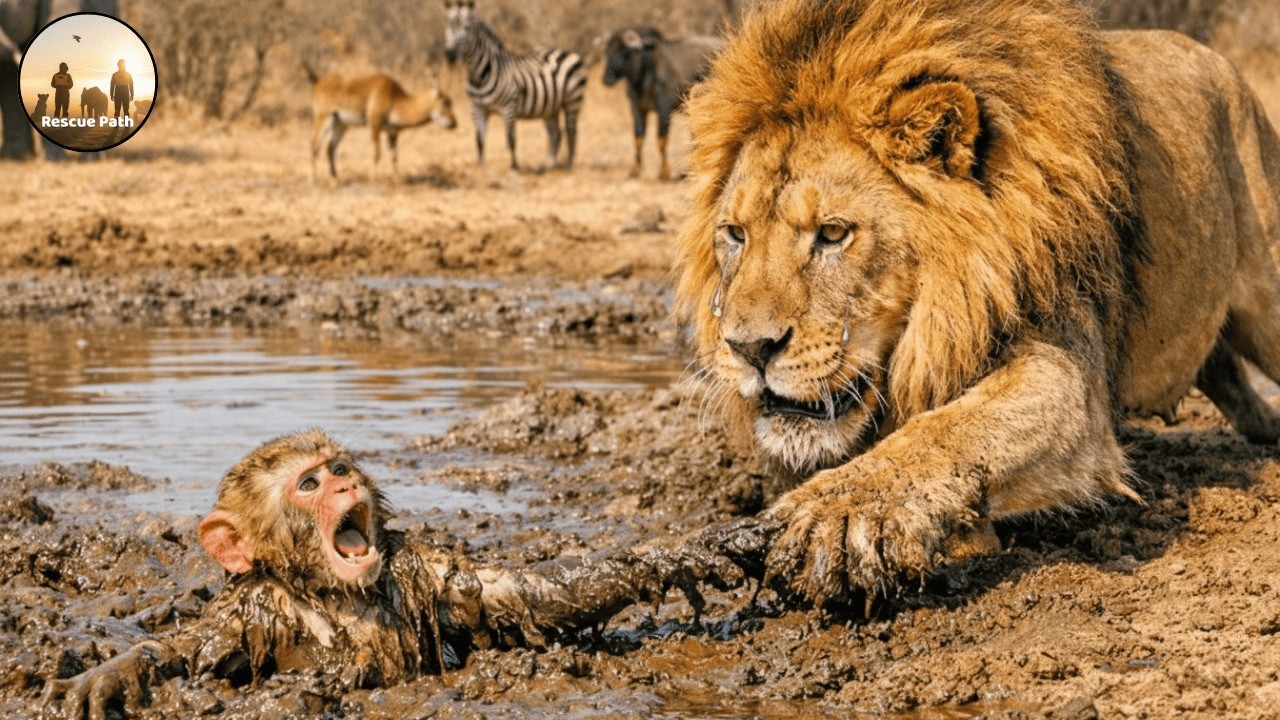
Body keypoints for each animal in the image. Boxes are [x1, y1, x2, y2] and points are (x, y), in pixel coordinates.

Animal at [43, 429, 753, 719]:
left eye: (339, 466)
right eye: (309, 483)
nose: (345, 482)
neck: (333, 593)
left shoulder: (424, 570)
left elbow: (532, 595)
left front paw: (697, 546)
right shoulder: (247, 611)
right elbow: (185, 651)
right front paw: (106, 675)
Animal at [673, 0, 1280, 604]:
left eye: (833, 233)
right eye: (734, 234)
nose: (750, 349)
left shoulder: (1067, 369)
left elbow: (947, 429)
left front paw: (839, 512)